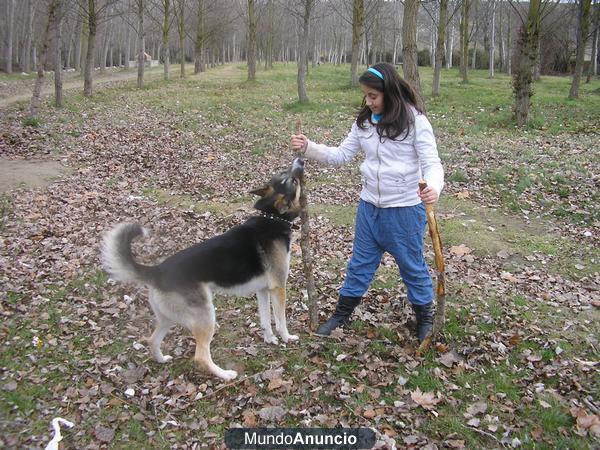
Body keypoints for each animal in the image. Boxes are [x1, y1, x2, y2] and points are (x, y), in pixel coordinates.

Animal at [102, 158, 304, 380]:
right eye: (292, 180)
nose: (300, 160)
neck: (272, 217)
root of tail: (157, 271)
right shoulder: (278, 288)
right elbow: (280, 320)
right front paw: (287, 338)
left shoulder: (262, 291)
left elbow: (266, 320)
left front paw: (269, 339)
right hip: (206, 315)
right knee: (201, 357)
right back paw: (225, 374)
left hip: (168, 318)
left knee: (152, 341)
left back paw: (162, 359)